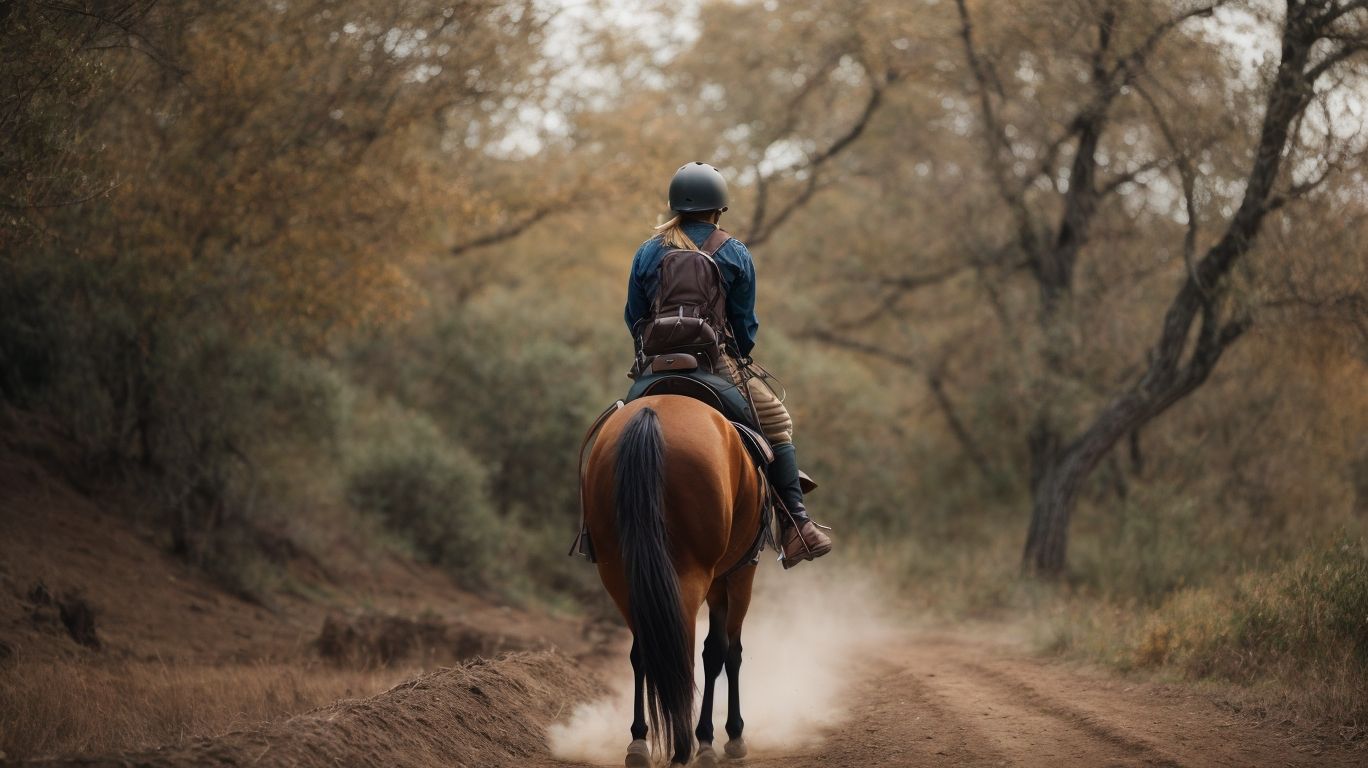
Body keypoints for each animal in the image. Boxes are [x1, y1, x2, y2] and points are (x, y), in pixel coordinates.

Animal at [583, 395, 766, 767]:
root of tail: (652, 415)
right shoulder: (738, 574)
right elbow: (726, 651)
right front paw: (727, 735)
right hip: (693, 574)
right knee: (691, 649)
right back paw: (687, 744)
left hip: (619, 575)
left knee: (644, 650)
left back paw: (639, 742)